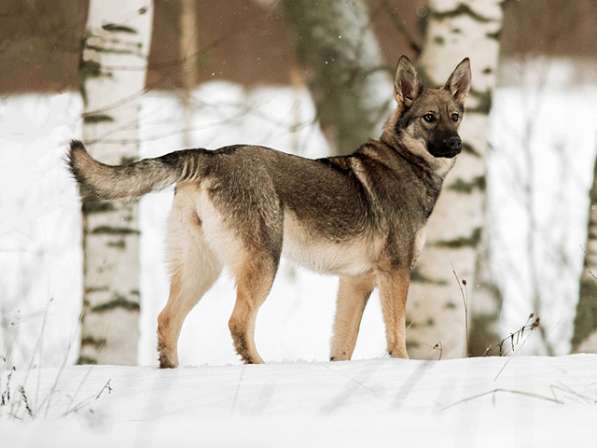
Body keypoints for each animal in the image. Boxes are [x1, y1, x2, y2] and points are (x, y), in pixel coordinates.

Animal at [68, 56, 470, 366]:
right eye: (429, 118)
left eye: (456, 116)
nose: (456, 144)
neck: (407, 164)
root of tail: (210, 156)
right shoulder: (395, 274)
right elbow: (396, 337)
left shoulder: (356, 282)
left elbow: (343, 346)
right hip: (263, 264)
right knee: (237, 322)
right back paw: (259, 366)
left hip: (203, 268)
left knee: (167, 319)